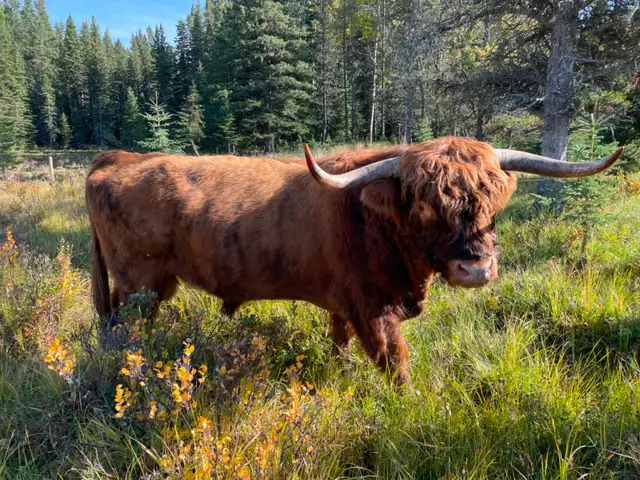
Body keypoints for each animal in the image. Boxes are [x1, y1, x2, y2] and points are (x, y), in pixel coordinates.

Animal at [85, 137, 623, 385]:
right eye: (424, 205)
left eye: (493, 200)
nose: (476, 269)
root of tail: (118, 158)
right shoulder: (373, 309)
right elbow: (397, 364)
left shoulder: (341, 304)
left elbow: (339, 344)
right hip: (137, 283)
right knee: (121, 328)